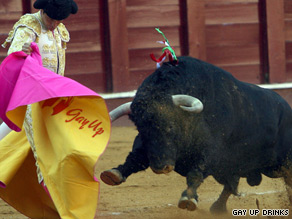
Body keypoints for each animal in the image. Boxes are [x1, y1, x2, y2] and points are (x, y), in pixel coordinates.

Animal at [100, 56, 292, 212]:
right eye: (140, 128)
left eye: (171, 126)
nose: (161, 167)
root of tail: (286, 108)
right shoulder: (146, 146)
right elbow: (134, 159)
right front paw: (114, 174)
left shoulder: (210, 152)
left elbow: (196, 173)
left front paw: (188, 199)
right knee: (230, 185)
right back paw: (218, 208)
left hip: (281, 164)